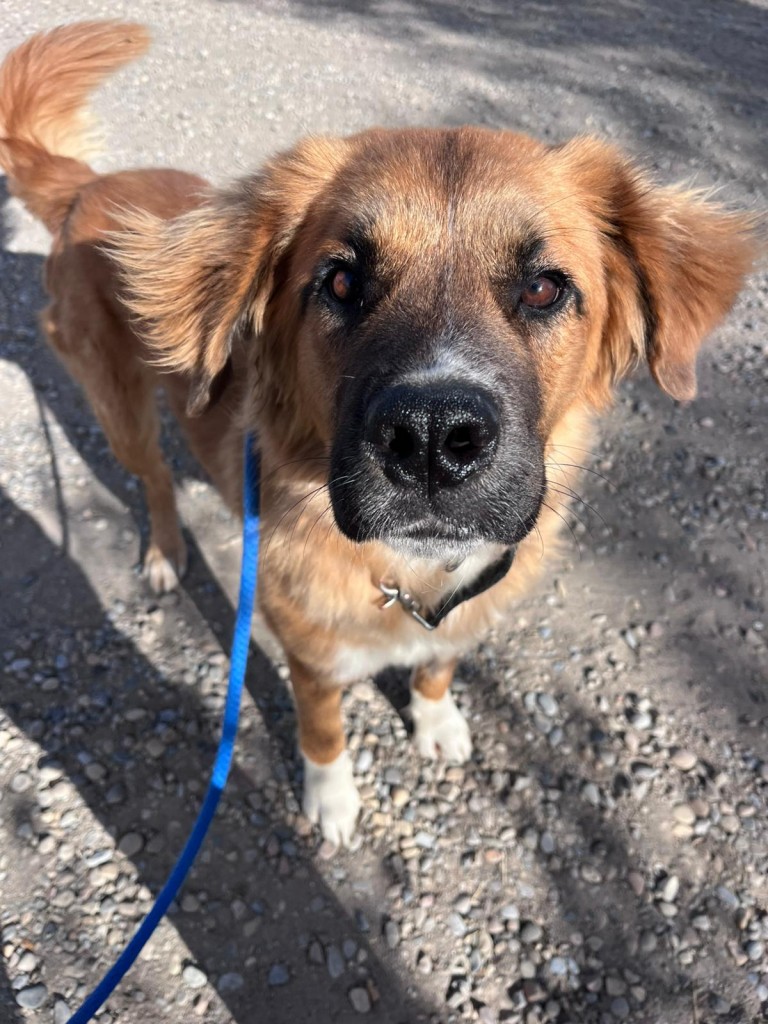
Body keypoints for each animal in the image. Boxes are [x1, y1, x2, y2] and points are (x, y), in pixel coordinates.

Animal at [0, 22, 757, 845]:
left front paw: (435, 719)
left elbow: (437, 664)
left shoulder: (459, 618)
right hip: (120, 409)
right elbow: (323, 730)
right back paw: (167, 555)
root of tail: (86, 186)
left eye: (543, 286)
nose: (431, 437)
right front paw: (331, 801)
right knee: (157, 481)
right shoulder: (309, 655)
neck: (412, 577)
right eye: (340, 280)